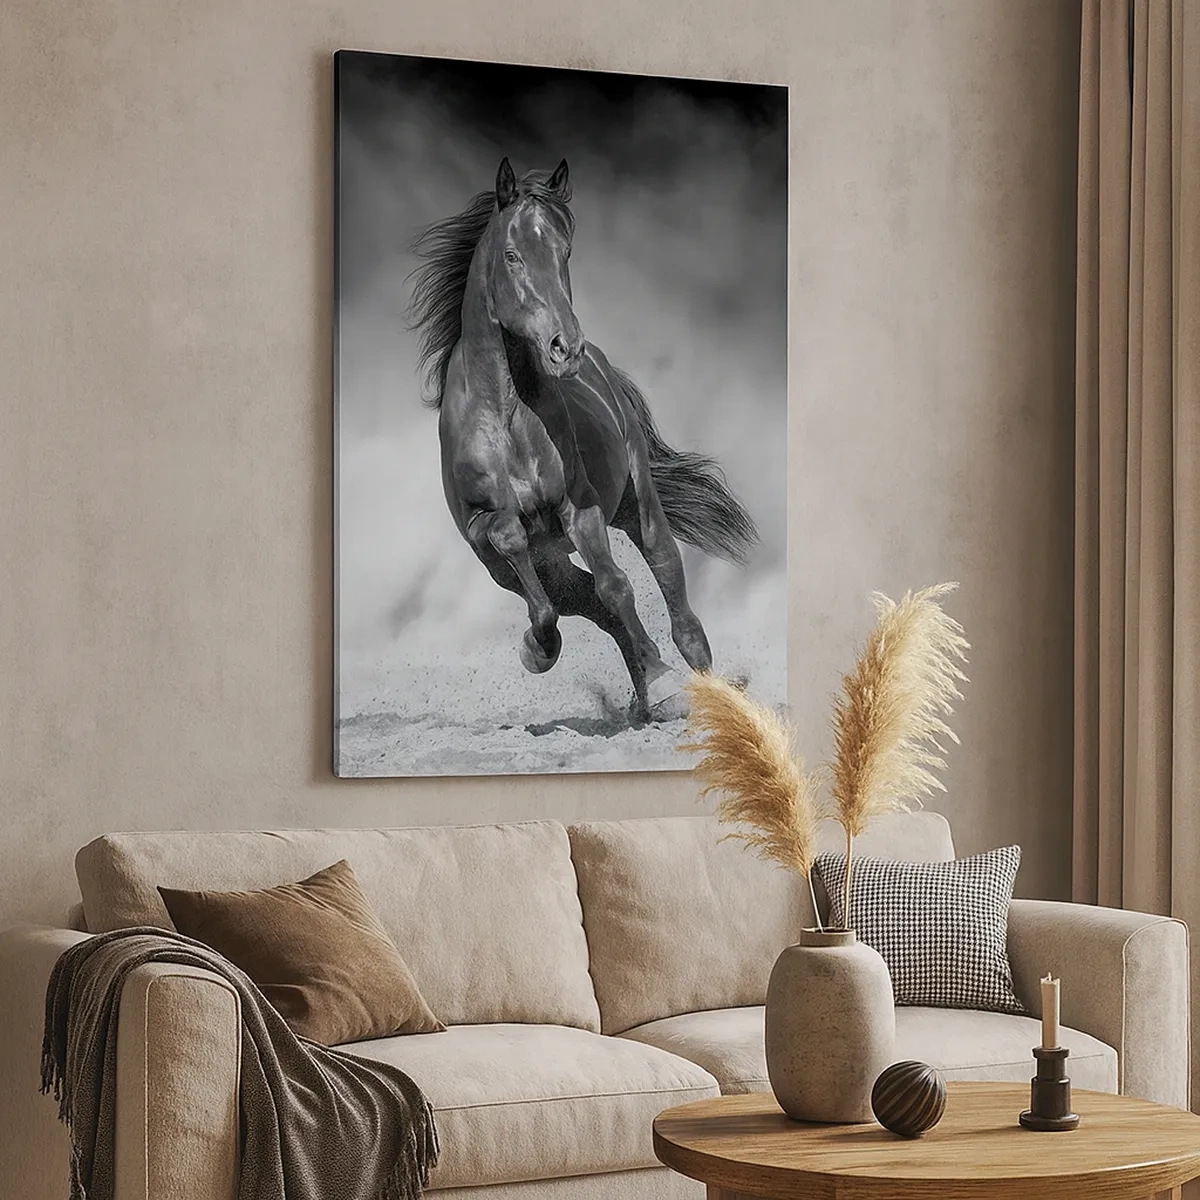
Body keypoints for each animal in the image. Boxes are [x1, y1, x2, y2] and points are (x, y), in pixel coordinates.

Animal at [408, 157, 757, 724]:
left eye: (564, 251)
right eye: (512, 256)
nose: (564, 346)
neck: (507, 417)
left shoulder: (580, 509)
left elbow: (617, 586)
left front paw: (662, 679)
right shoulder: (486, 534)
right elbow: (531, 568)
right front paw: (537, 649)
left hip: (640, 507)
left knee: (671, 591)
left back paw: (704, 692)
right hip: (532, 567)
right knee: (582, 600)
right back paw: (640, 696)